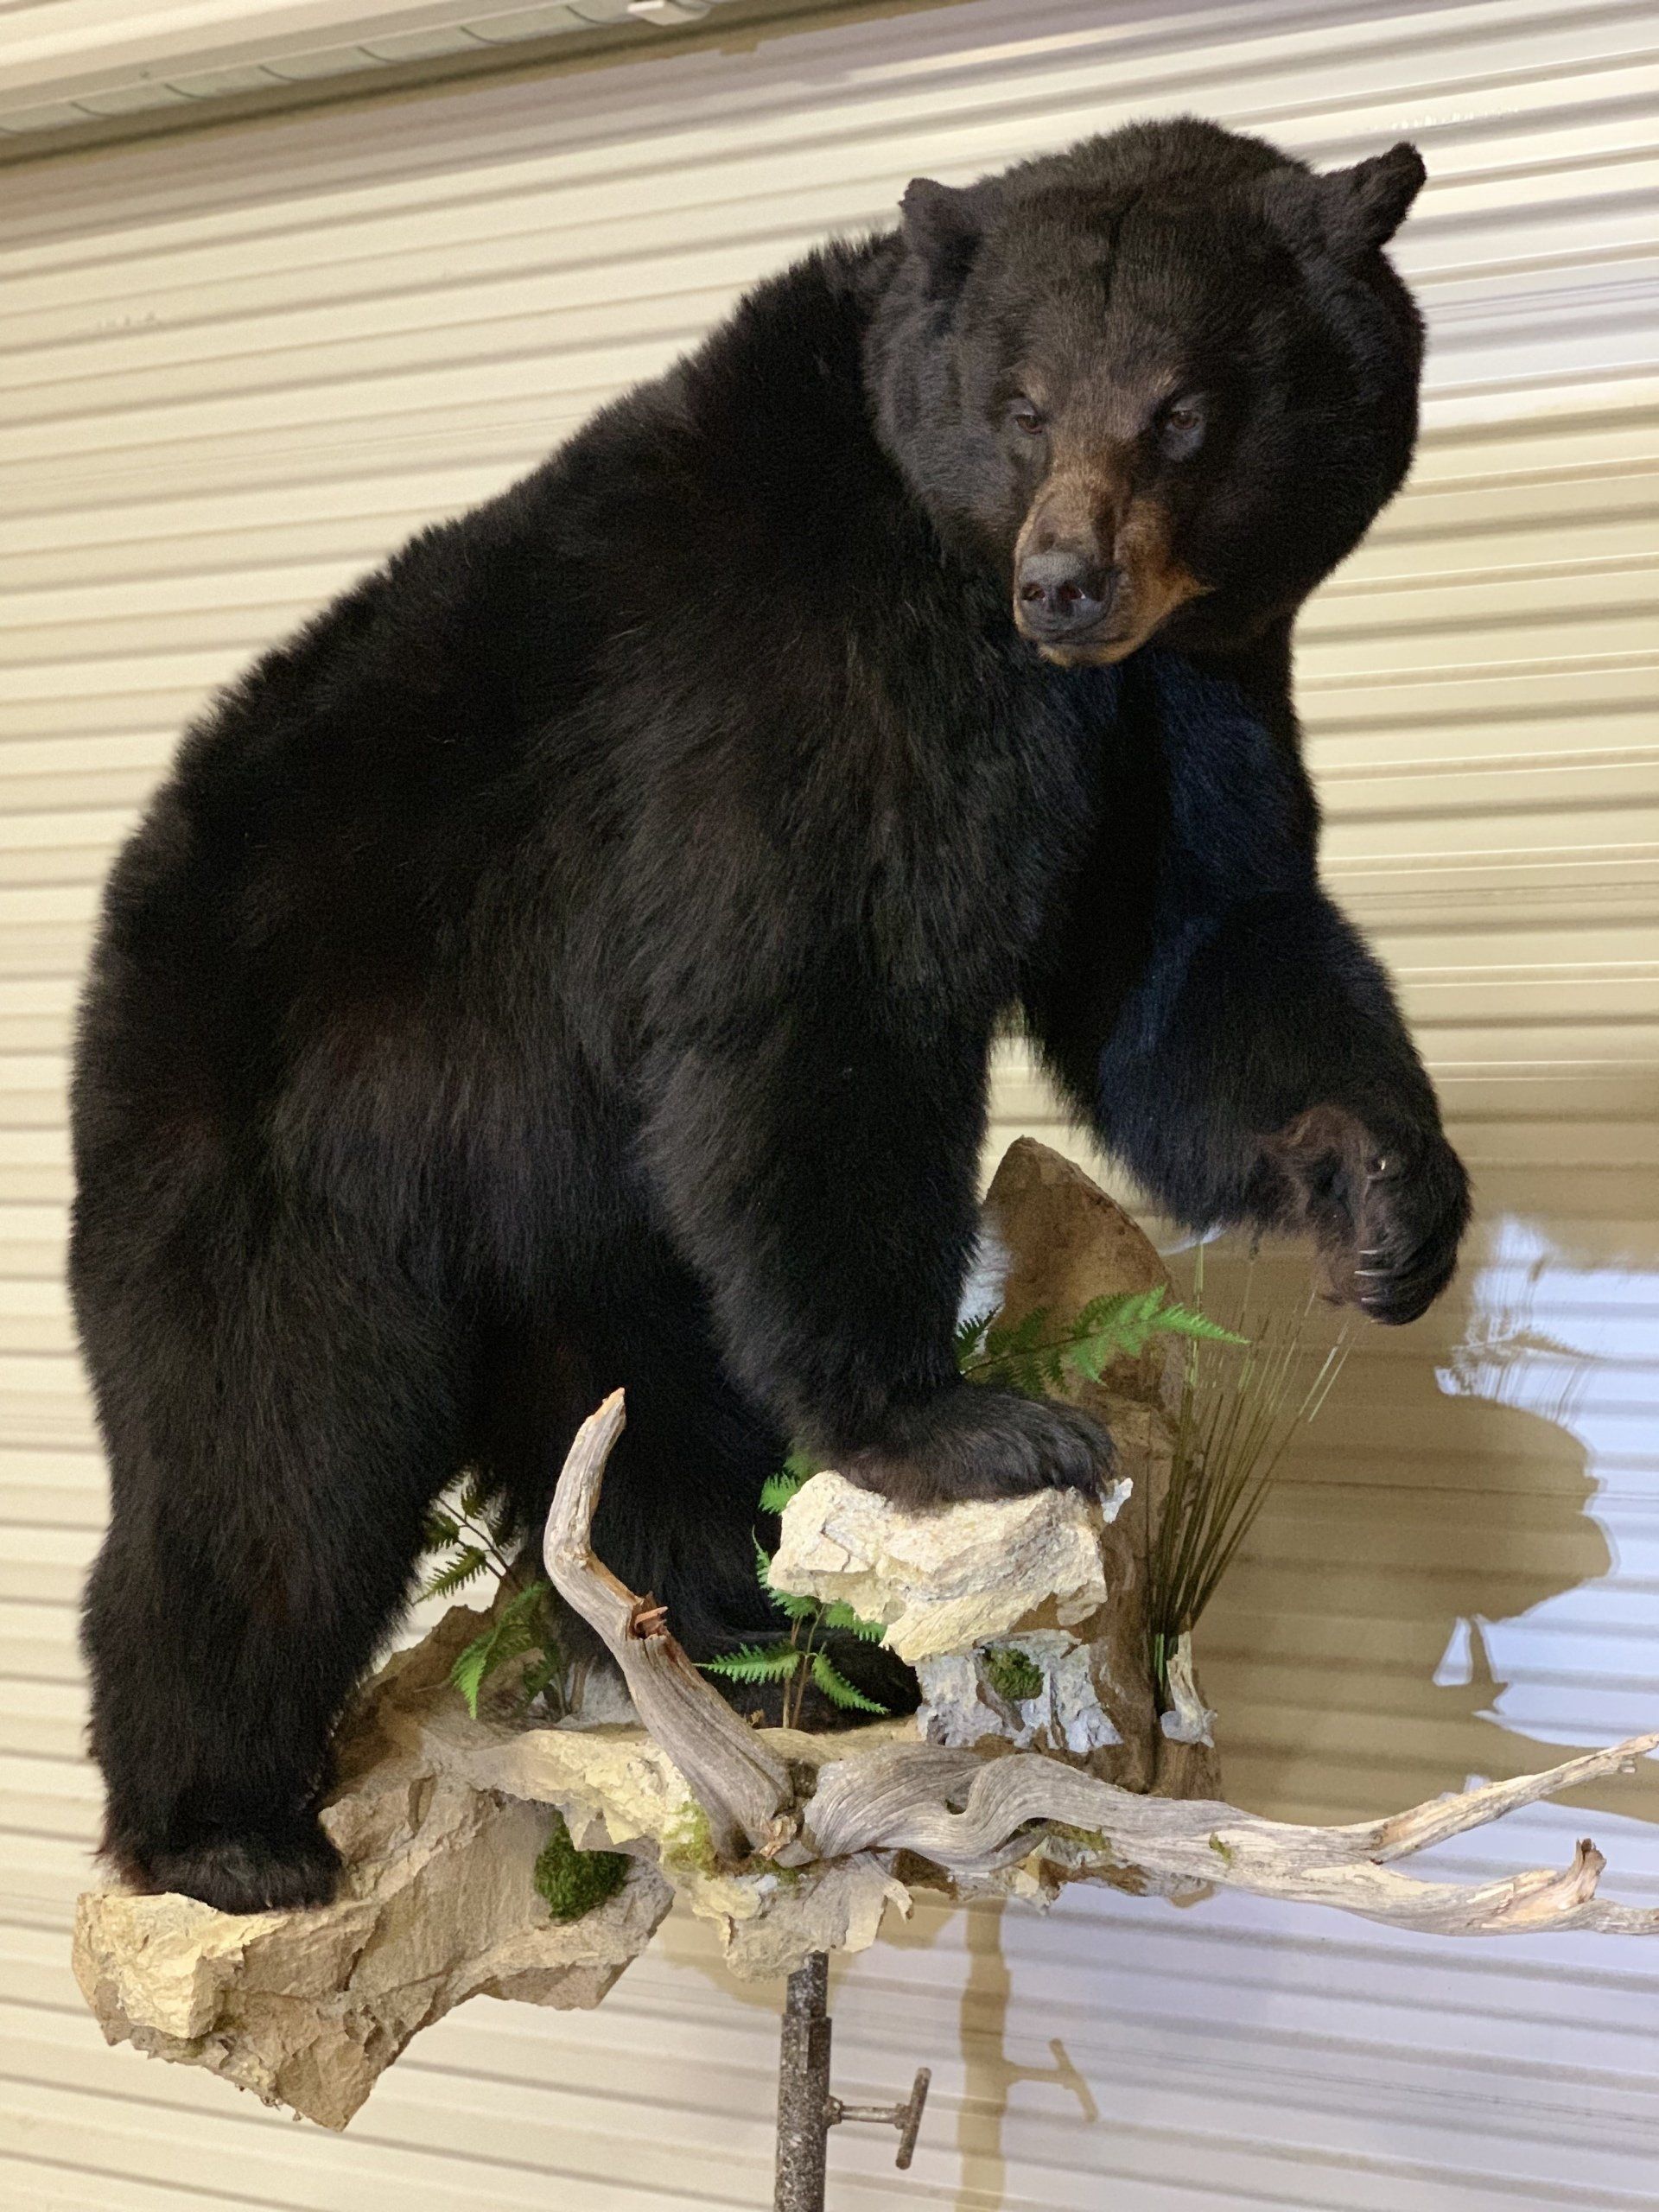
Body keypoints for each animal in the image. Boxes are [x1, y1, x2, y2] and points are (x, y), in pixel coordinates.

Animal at [70, 117, 1471, 1914]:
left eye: (1183, 407)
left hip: (567, 1221)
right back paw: (224, 1827)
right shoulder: (806, 683)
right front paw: (970, 1426)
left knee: (643, 1414)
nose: (1066, 580)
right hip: (282, 1127)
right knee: (268, 1452)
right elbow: (825, 1003)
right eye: (1022, 402)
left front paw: (1384, 1191)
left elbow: (1202, 945)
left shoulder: (1183, 690)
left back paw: (774, 1642)